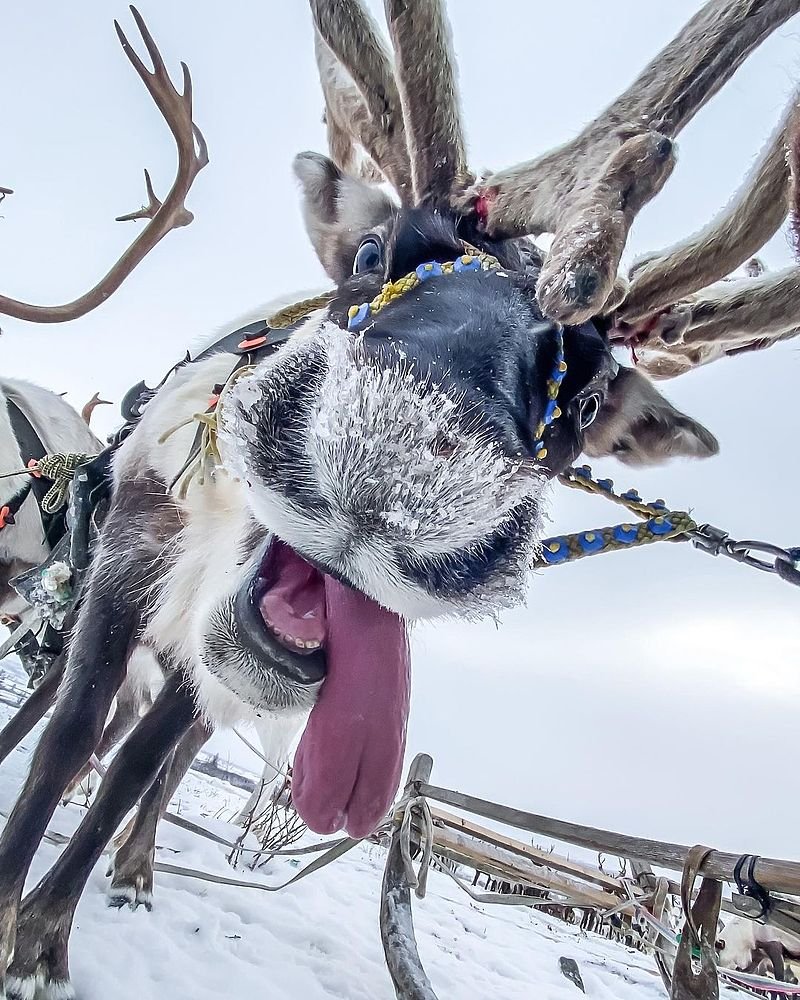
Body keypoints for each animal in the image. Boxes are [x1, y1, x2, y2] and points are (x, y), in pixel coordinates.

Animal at [0, 0, 797, 996]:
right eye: (374, 253)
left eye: (582, 404)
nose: (397, 472)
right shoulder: (127, 561)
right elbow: (68, 733)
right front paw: (11, 907)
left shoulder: (198, 665)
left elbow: (137, 767)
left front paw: (43, 942)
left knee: (164, 762)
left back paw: (139, 870)